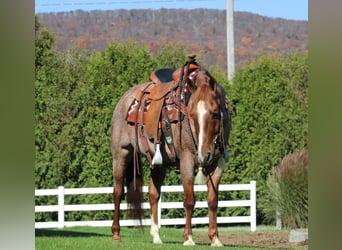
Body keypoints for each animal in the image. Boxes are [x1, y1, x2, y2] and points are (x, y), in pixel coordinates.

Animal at [111, 55, 231, 246]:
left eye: (214, 113)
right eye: (191, 114)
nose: (203, 155)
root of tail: (125, 100)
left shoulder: (217, 164)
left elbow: (212, 201)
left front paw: (215, 238)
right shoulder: (187, 161)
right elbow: (189, 200)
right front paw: (188, 238)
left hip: (158, 162)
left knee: (153, 194)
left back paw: (156, 235)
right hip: (121, 154)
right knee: (117, 192)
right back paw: (116, 233)